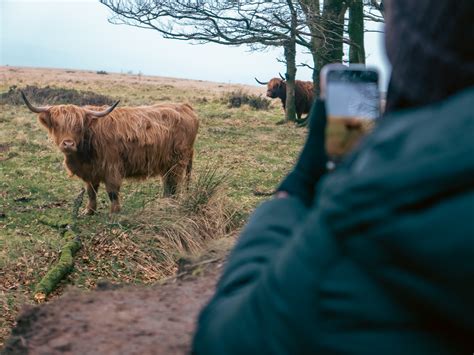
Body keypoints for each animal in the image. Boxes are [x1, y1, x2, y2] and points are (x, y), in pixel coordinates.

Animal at [21, 92, 199, 214]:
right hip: (167, 163)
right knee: (168, 184)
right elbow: (91, 191)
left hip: (178, 161)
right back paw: (164, 203)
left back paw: (170, 205)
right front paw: (89, 211)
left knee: (174, 184)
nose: (68, 144)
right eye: (57, 125)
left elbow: (112, 192)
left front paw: (114, 213)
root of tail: (185, 106)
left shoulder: (112, 167)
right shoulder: (90, 171)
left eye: (78, 126)